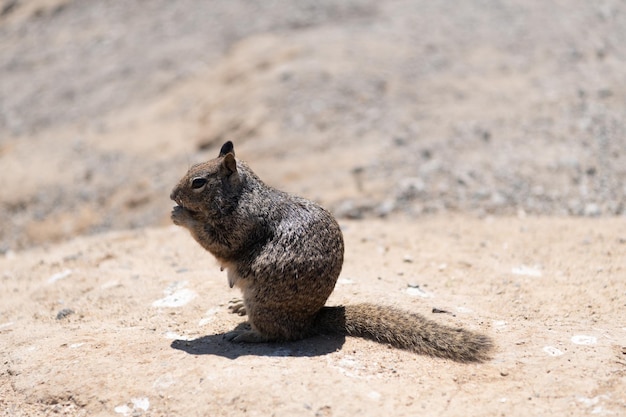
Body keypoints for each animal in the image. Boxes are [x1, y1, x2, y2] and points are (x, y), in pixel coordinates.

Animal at [171, 141, 492, 362]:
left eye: (198, 182)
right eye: (189, 169)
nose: (172, 195)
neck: (240, 195)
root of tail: (311, 320)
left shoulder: (240, 225)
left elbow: (218, 242)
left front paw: (182, 216)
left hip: (263, 303)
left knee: (279, 334)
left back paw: (245, 333)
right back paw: (240, 309)